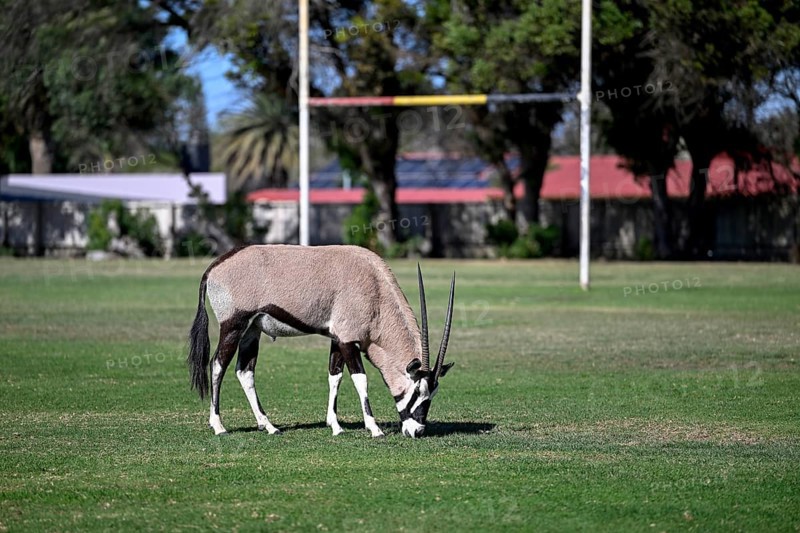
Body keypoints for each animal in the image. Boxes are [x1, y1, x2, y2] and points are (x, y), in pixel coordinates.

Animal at [187, 244, 455, 438]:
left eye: (433, 393)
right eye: (417, 391)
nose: (418, 431)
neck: (375, 290)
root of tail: (214, 267)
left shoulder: (337, 339)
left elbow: (335, 377)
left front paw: (335, 425)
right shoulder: (348, 341)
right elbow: (360, 380)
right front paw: (374, 428)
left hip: (252, 330)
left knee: (245, 371)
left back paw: (269, 426)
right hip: (233, 326)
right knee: (217, 365)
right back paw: (219, 426)